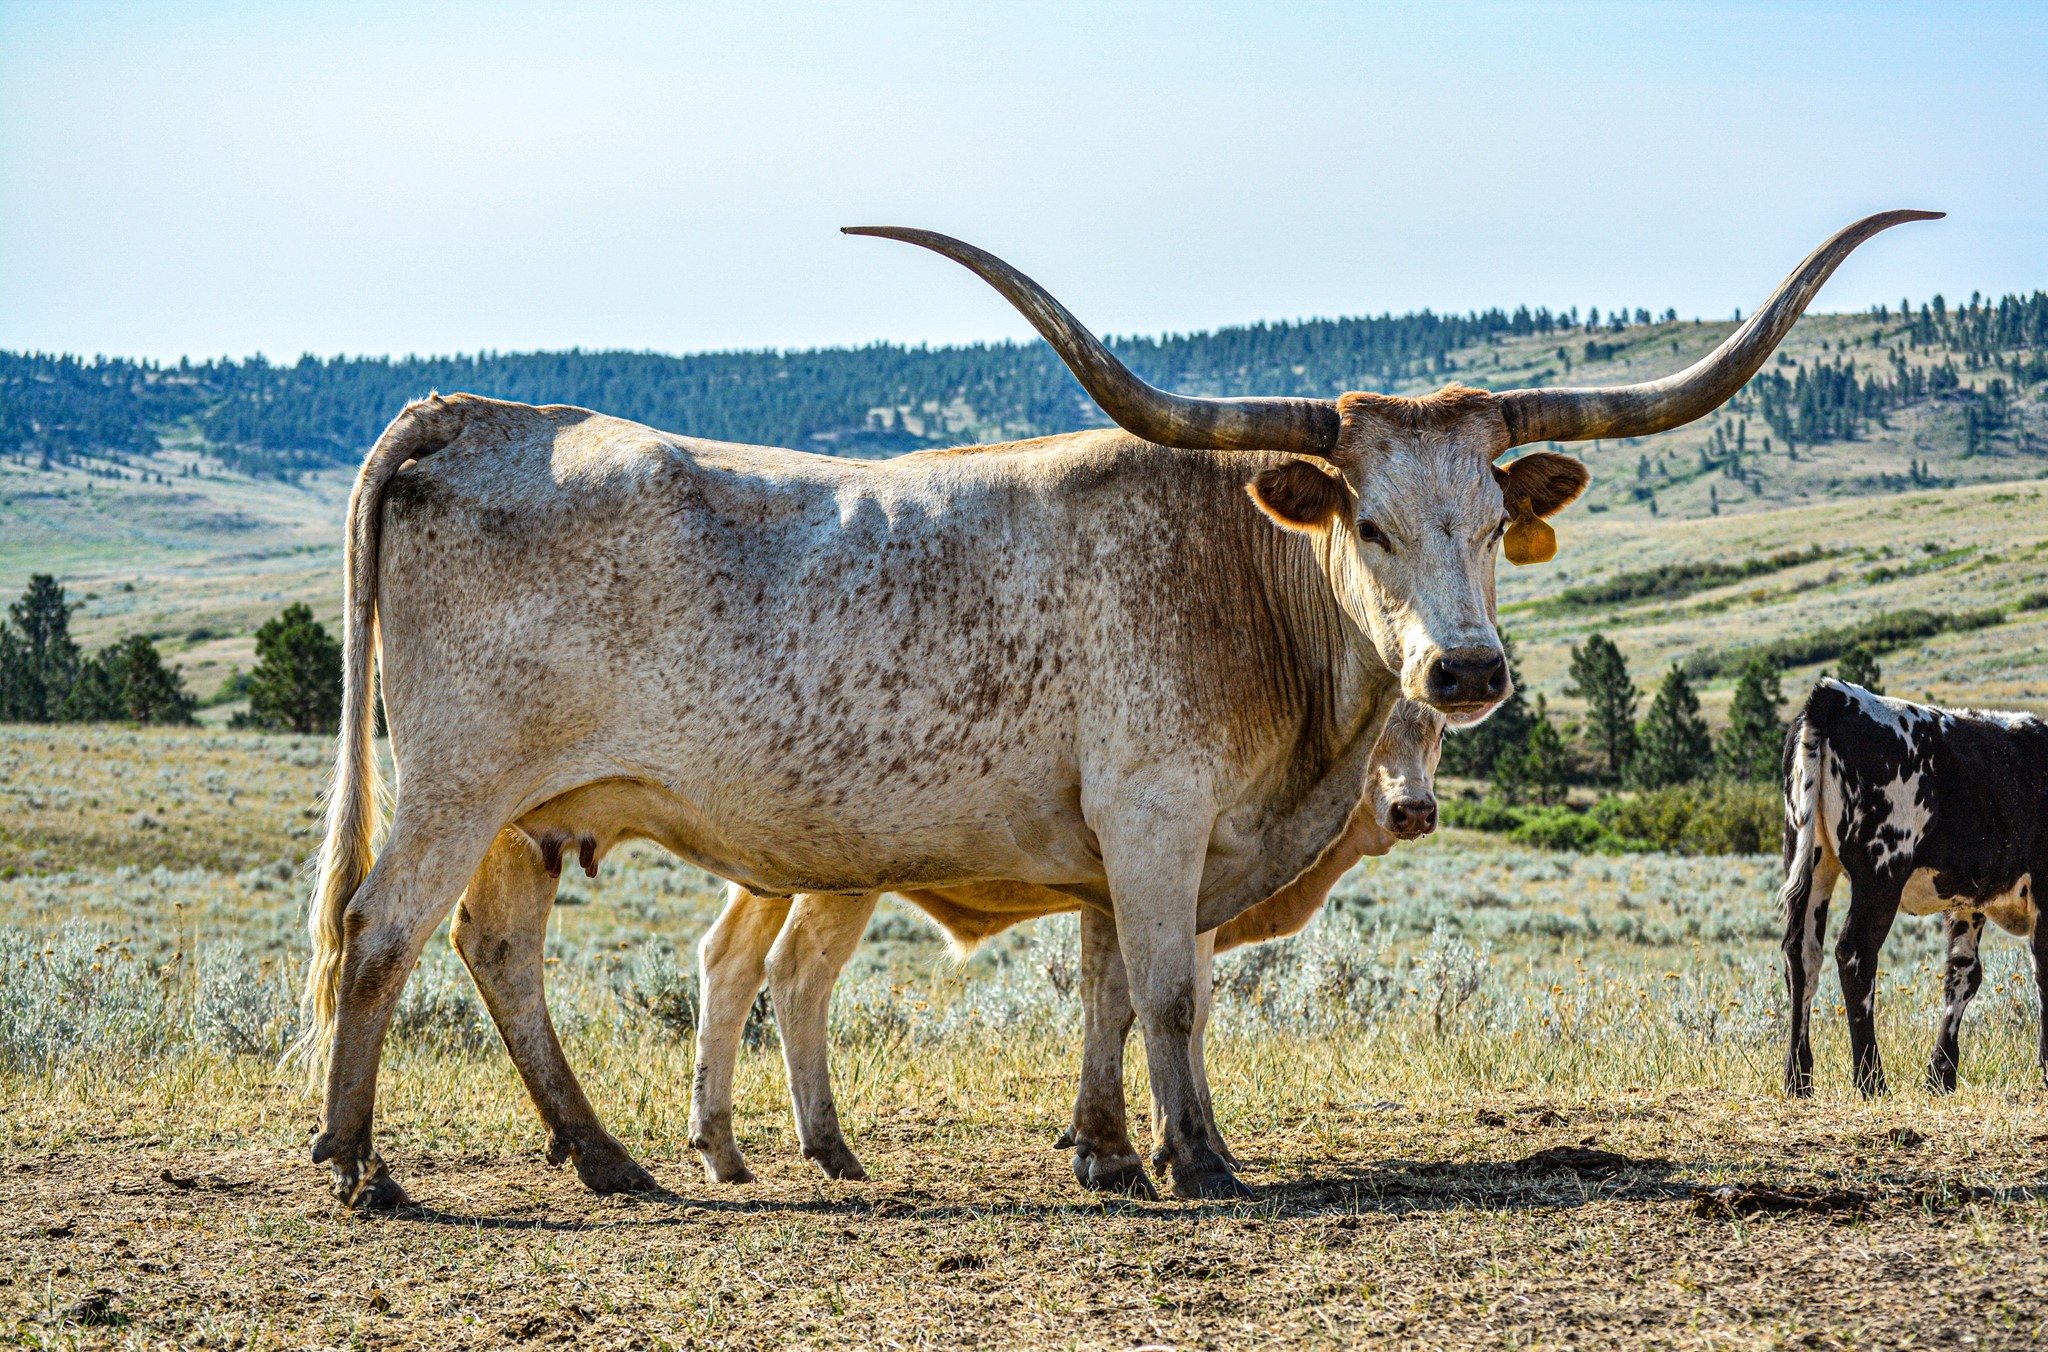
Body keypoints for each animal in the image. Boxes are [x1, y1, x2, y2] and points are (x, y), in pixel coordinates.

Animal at [687, 699, 1443, 1198]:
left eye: (1434, 732)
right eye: (1376, 740)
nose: (1414, 809)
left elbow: (1121, 1003)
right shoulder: (1185, 896)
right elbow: (1184, 1010)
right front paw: (1192, 1145)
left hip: (768, 885)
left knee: (730, 964)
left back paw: (722, 1147)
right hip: (837, 884)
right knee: (796, 973)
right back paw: (827, 1148)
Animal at [1779, 678, 2048, 1097]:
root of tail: (1838, 692)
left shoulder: (1967, 899)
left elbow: (1963, 973)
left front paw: (1941, 1073)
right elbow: (2043, 972)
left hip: (1810, 857)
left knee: (1802, 954)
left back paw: (1798, 1078)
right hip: (1882, 867)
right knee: (1854, 953)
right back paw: (1871, 1079)